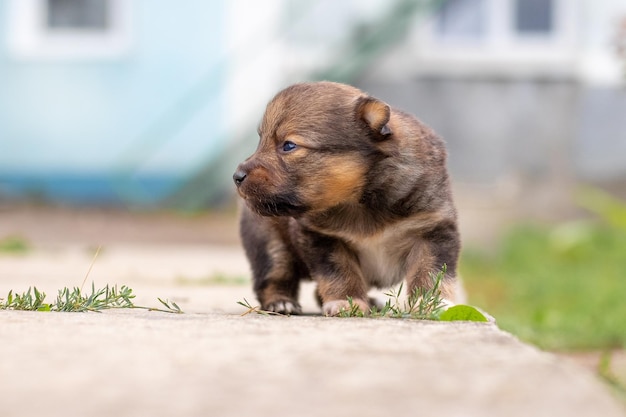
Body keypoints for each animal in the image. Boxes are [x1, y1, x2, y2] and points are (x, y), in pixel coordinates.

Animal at [233, 81, 458, 316]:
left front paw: (432, 304)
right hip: (271, 243)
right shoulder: (323, 239)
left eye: (289, 145)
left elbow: (429, 270)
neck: (361, 201)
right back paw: (281, 302)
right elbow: (340, 272)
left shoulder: (432, 229)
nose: (237, 176)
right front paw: (346, 302)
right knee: (275, 276)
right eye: (261, 140)